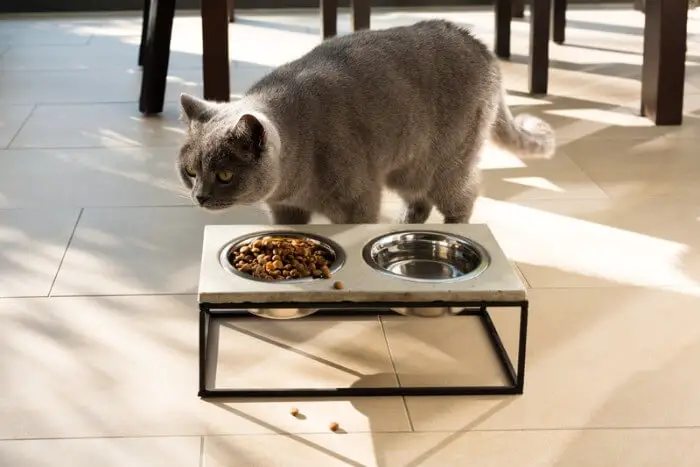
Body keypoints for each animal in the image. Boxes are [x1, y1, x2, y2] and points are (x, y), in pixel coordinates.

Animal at [178, 21, 556, 226]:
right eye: (191, 171)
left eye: (225, 176)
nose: (200, 196)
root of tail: (478, 44)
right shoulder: (285, 209)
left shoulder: (357, 201)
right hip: (407, 167)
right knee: (420, 200)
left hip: (446, 163)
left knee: (463, 197)